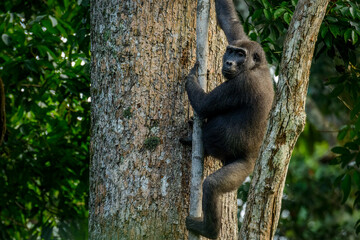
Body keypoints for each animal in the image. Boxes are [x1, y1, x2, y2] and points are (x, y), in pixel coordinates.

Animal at [184, 0, 274, 238]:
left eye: (240, 55)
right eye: (232, 51)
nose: (230, 63)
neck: (257, 66)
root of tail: (254, 161)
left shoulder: (241, 84)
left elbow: (204, 104)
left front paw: (191, 75)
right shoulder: (240, 39)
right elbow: (229, 21)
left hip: (243, 168)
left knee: (213, 185)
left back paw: (208, 230)